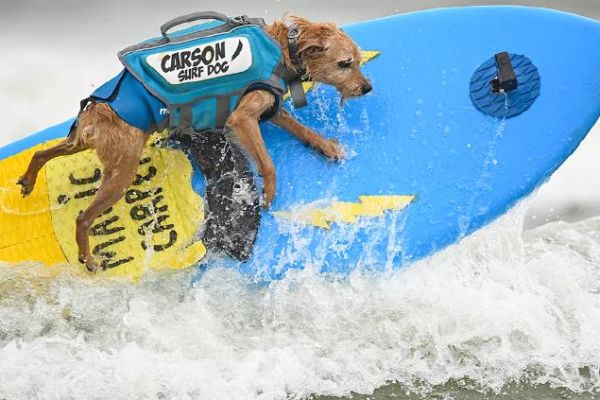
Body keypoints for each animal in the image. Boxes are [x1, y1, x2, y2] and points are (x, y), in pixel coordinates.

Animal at [16, 14, 372, 272]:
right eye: (345, 63)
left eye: (357, 59)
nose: (367, 87)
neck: (283, 49)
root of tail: (98, 110)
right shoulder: (242, 119)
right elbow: (267, 162)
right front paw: (269, 191)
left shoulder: (271, 107)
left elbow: (300, 129)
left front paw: (326, 146)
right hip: (121, 171)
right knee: (83, 217)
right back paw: (88, 257)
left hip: (86, 145)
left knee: (41, 153)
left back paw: (28, 179)